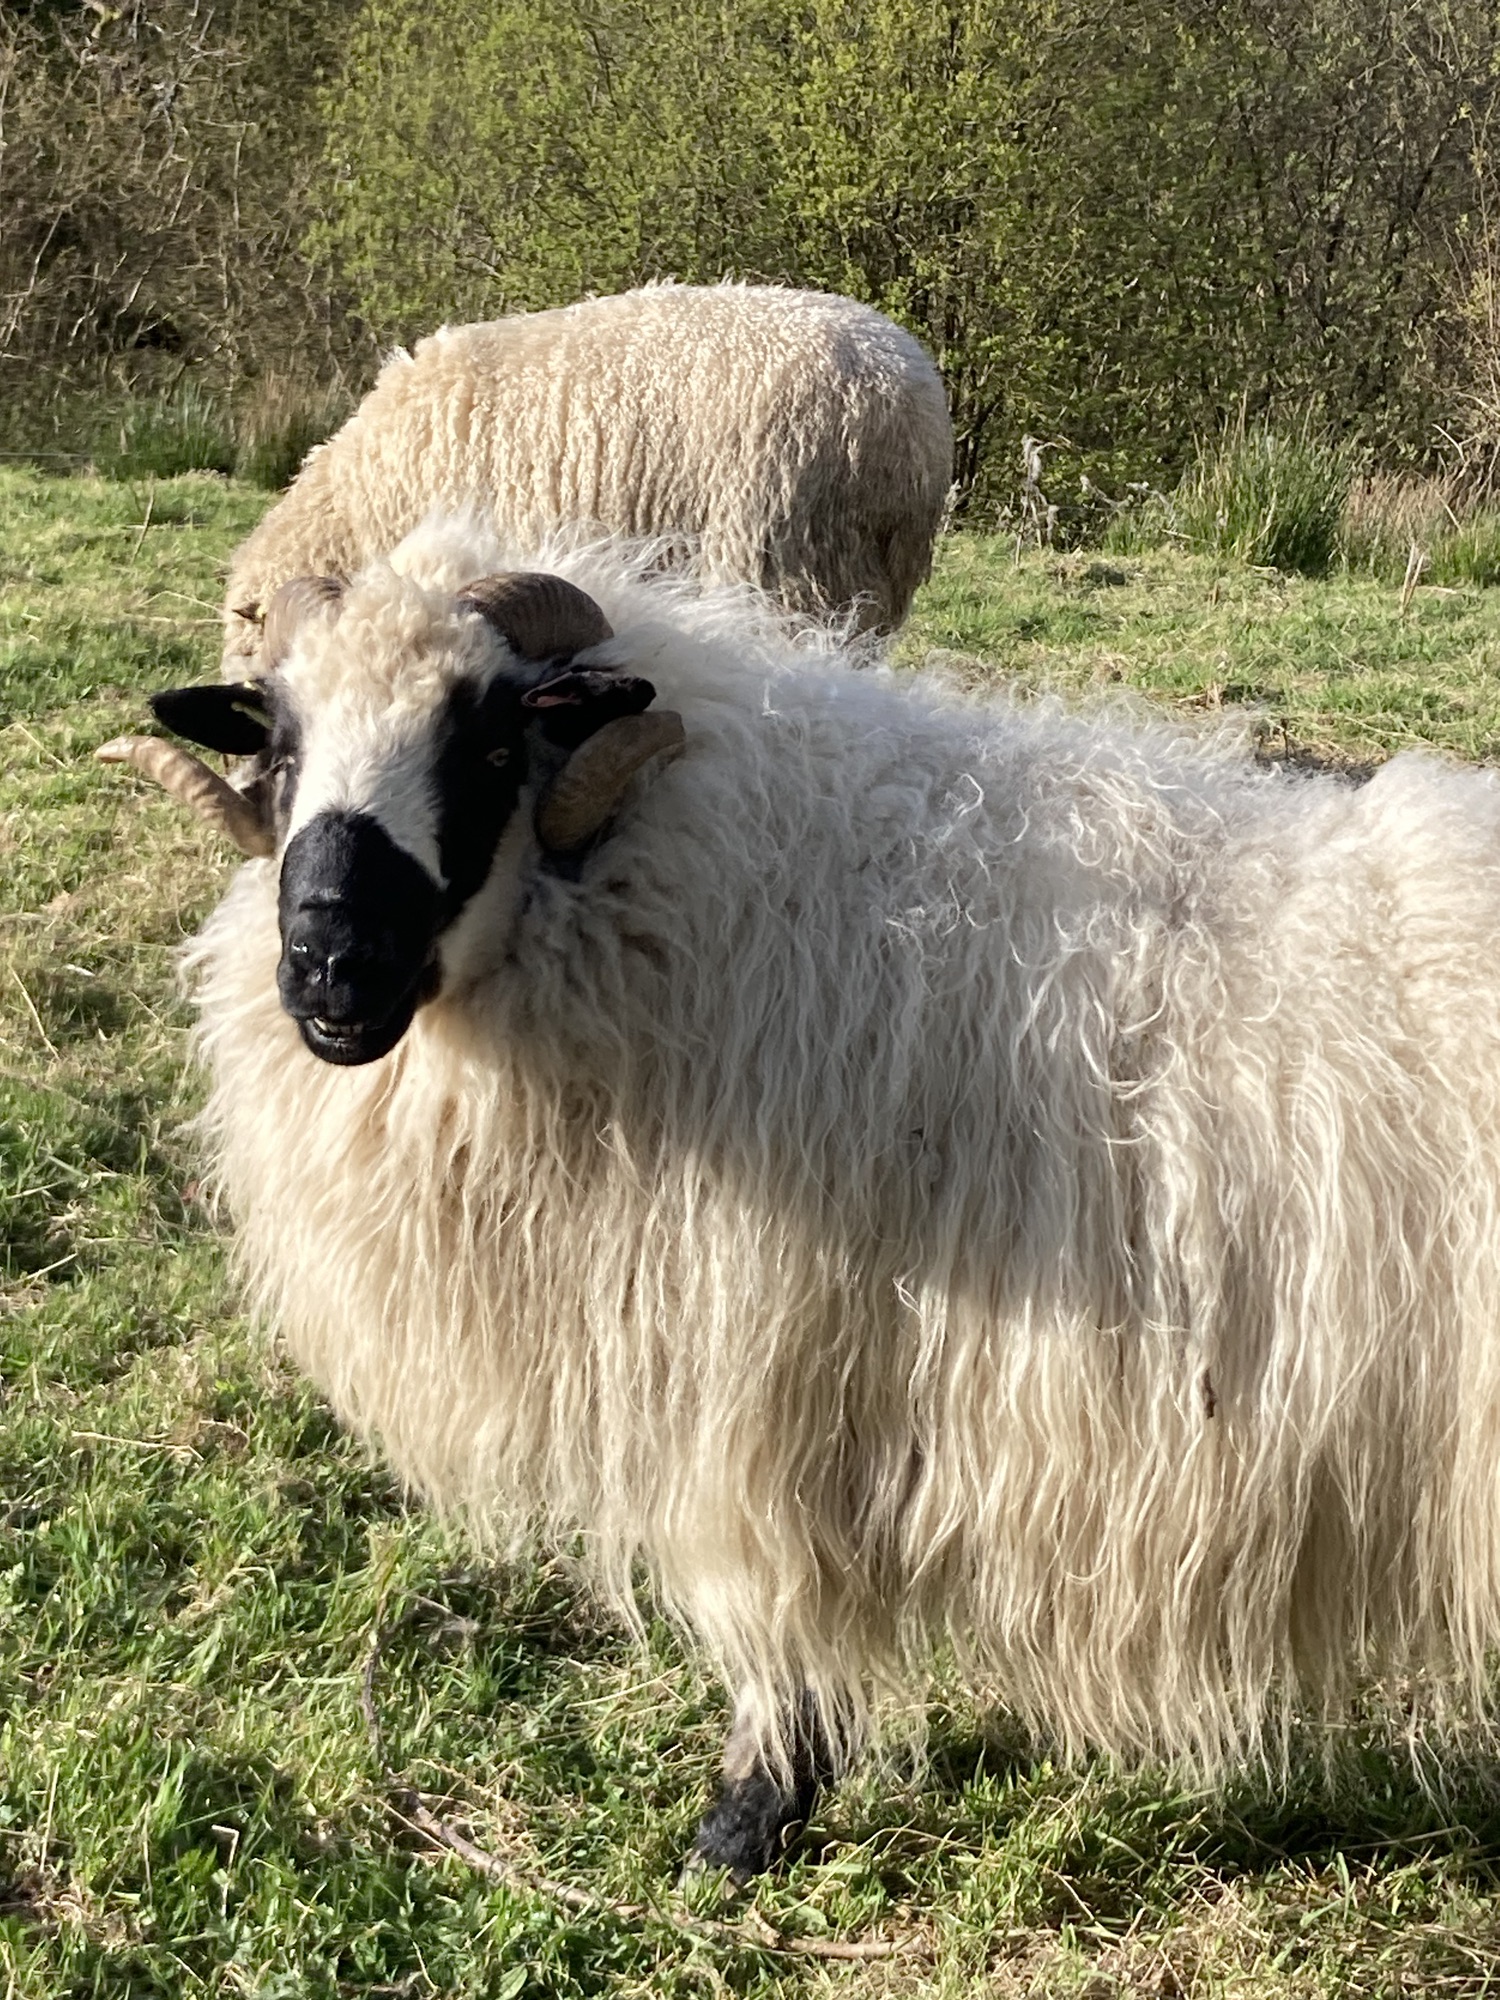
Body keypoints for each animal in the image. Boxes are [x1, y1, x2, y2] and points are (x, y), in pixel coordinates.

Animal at [106, 517, 1500, 1878]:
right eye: (282, 744)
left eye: (493, 741)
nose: (329, 965)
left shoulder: (759, 1367)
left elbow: (770, 1612)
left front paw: (745, 1821)